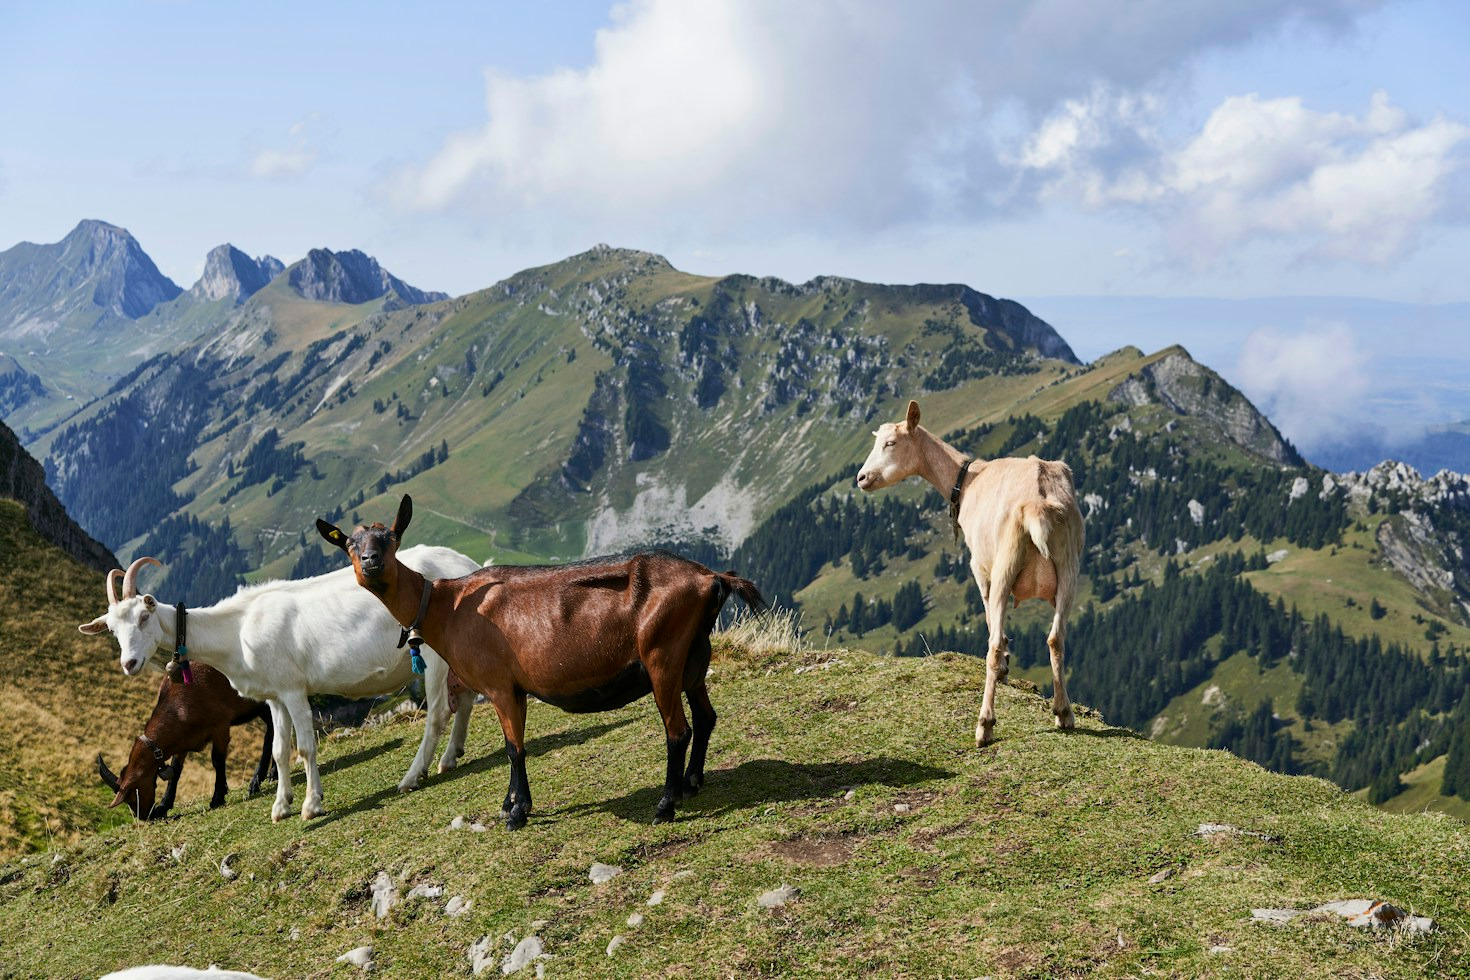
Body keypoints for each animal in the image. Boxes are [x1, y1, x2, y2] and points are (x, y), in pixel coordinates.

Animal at [95, 662, 275, 820]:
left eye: (133, 795)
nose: (144, 817)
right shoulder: (183, 740)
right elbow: (175, 769)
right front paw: (164, 805)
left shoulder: (221, 725)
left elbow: (217, 760)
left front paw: (218, 797)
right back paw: (272, 775)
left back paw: (256, 782)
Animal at [317, 495, 767, 828]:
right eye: (351, 545)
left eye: (391, 538)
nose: (371, 562)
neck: (448, 605)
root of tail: (711, 579)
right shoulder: (514, 689)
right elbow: (511, 746)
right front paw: (510, 802)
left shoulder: (500, 686)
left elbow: (515, 748)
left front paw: (517, 813)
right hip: (694, 657)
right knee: (706, 717)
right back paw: (692, 783)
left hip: (663, 657)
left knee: (678, 730)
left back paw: (665, 805)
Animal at [857, 400, 1084, 745]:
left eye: (891, 443)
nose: (861, 477)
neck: (967, 479)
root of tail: (1038, 504)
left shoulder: (980, 567)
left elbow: (992, 624)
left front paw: (1003, 667)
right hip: (1069, 569)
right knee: (1056, 639)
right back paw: (1064, 713)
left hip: (1005, 565)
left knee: (993, 644)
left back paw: (984, 725)